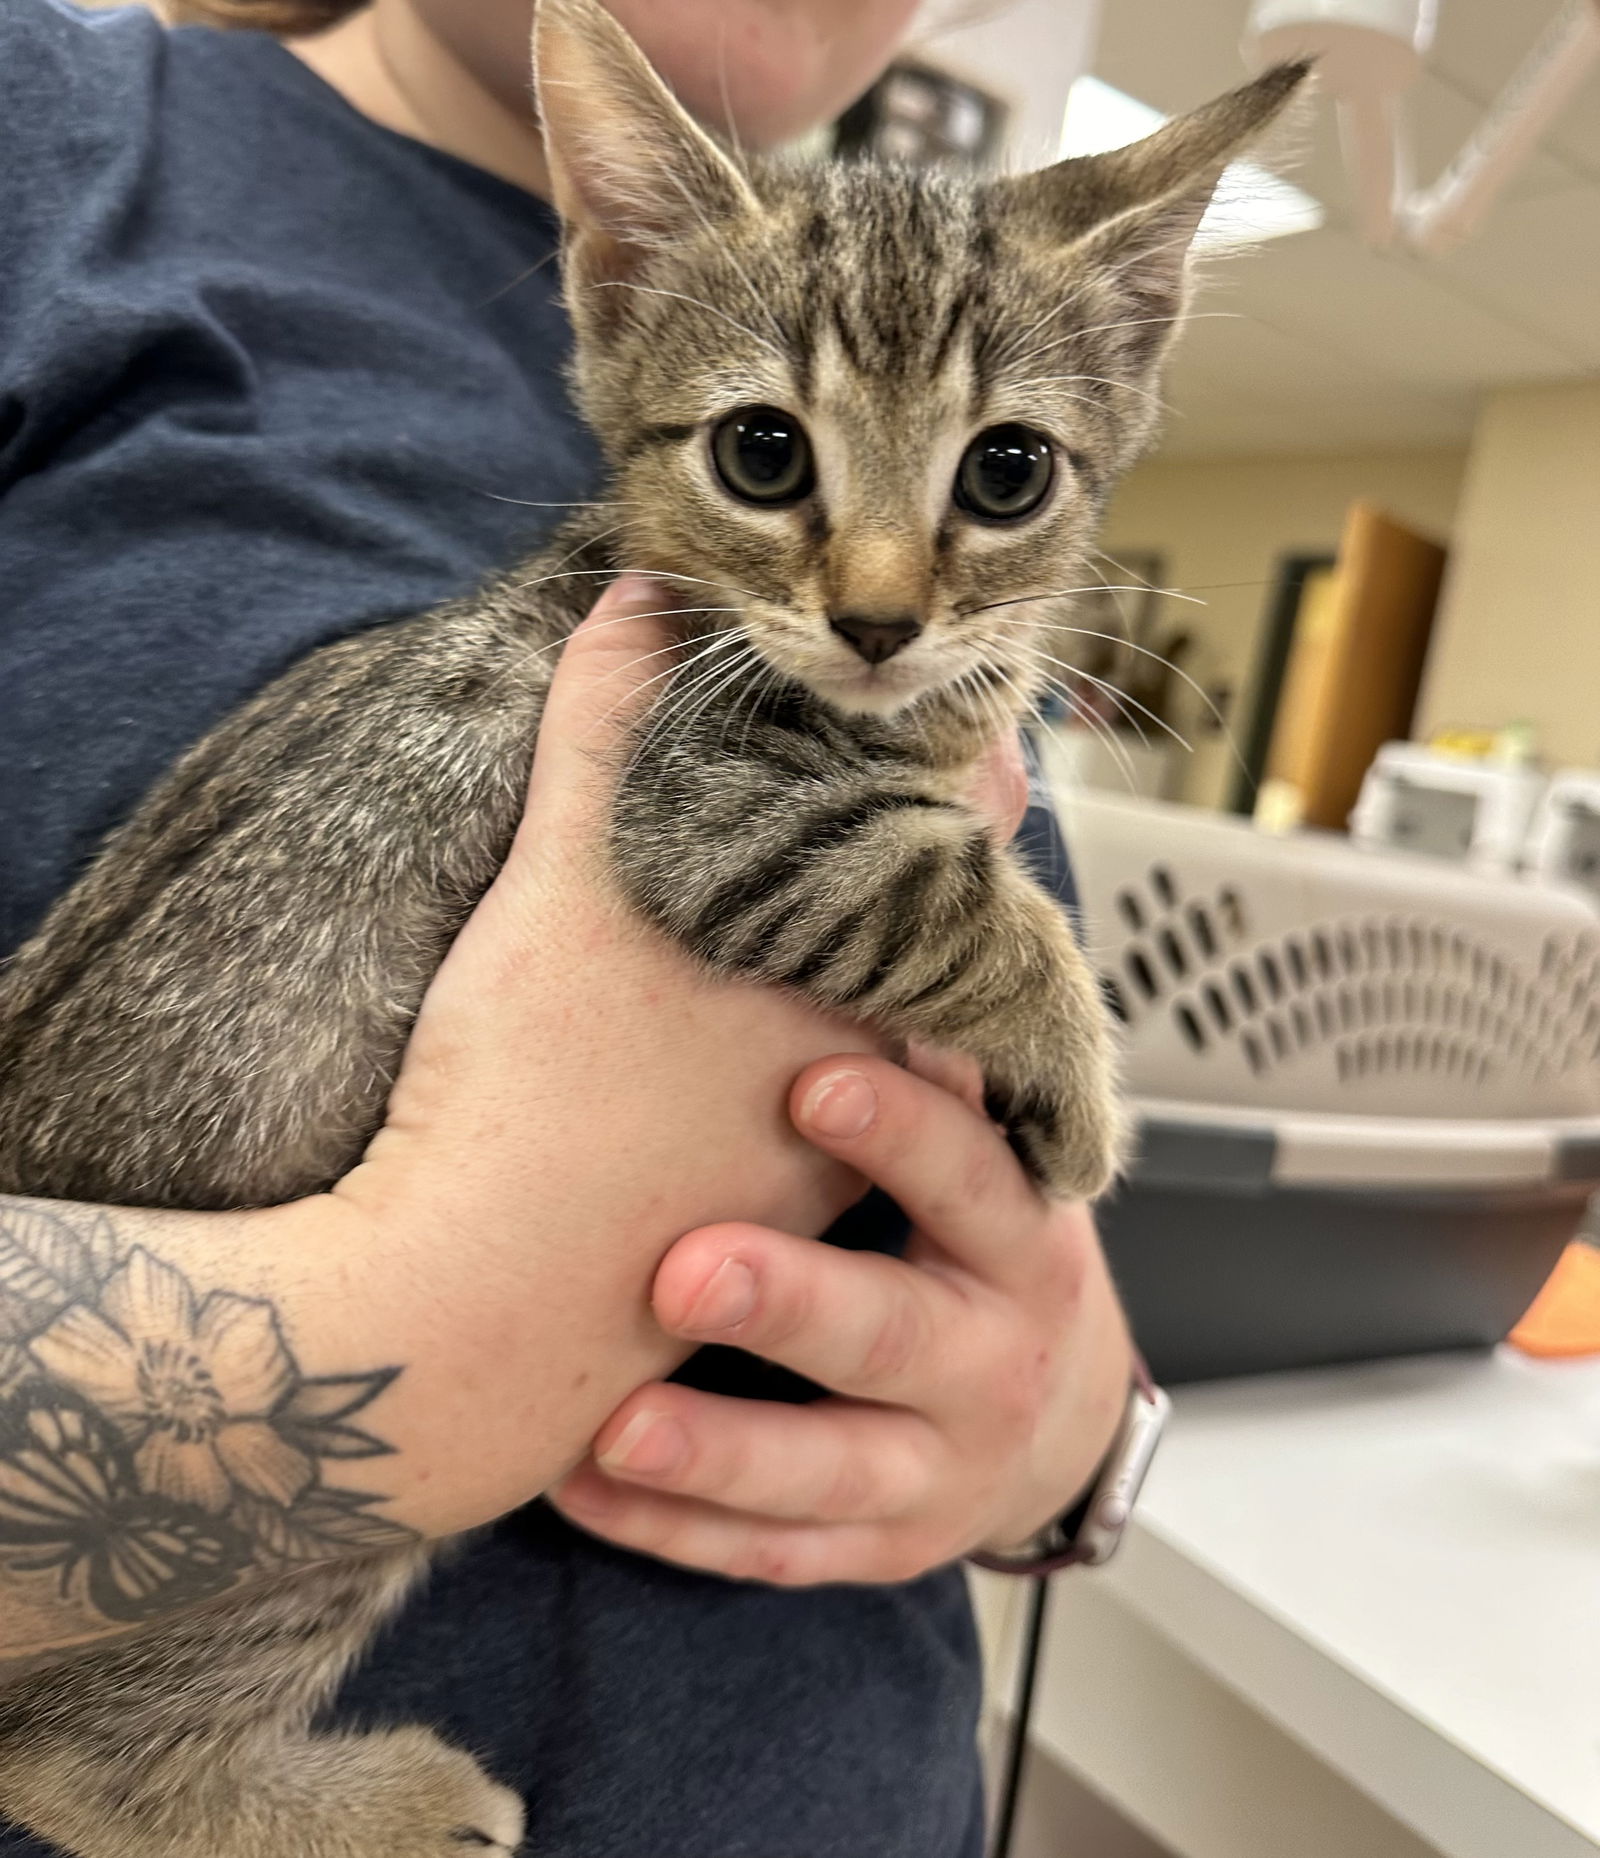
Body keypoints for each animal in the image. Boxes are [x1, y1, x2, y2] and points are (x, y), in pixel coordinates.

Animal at [0, 3, 1308, 1843]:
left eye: (1008, 469)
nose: (882, 618)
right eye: (764, 450)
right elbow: (955, 887)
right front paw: (1080, 1083)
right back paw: (380, 1799)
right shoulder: (715, 816)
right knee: (69, 1756)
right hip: (274, 1477)